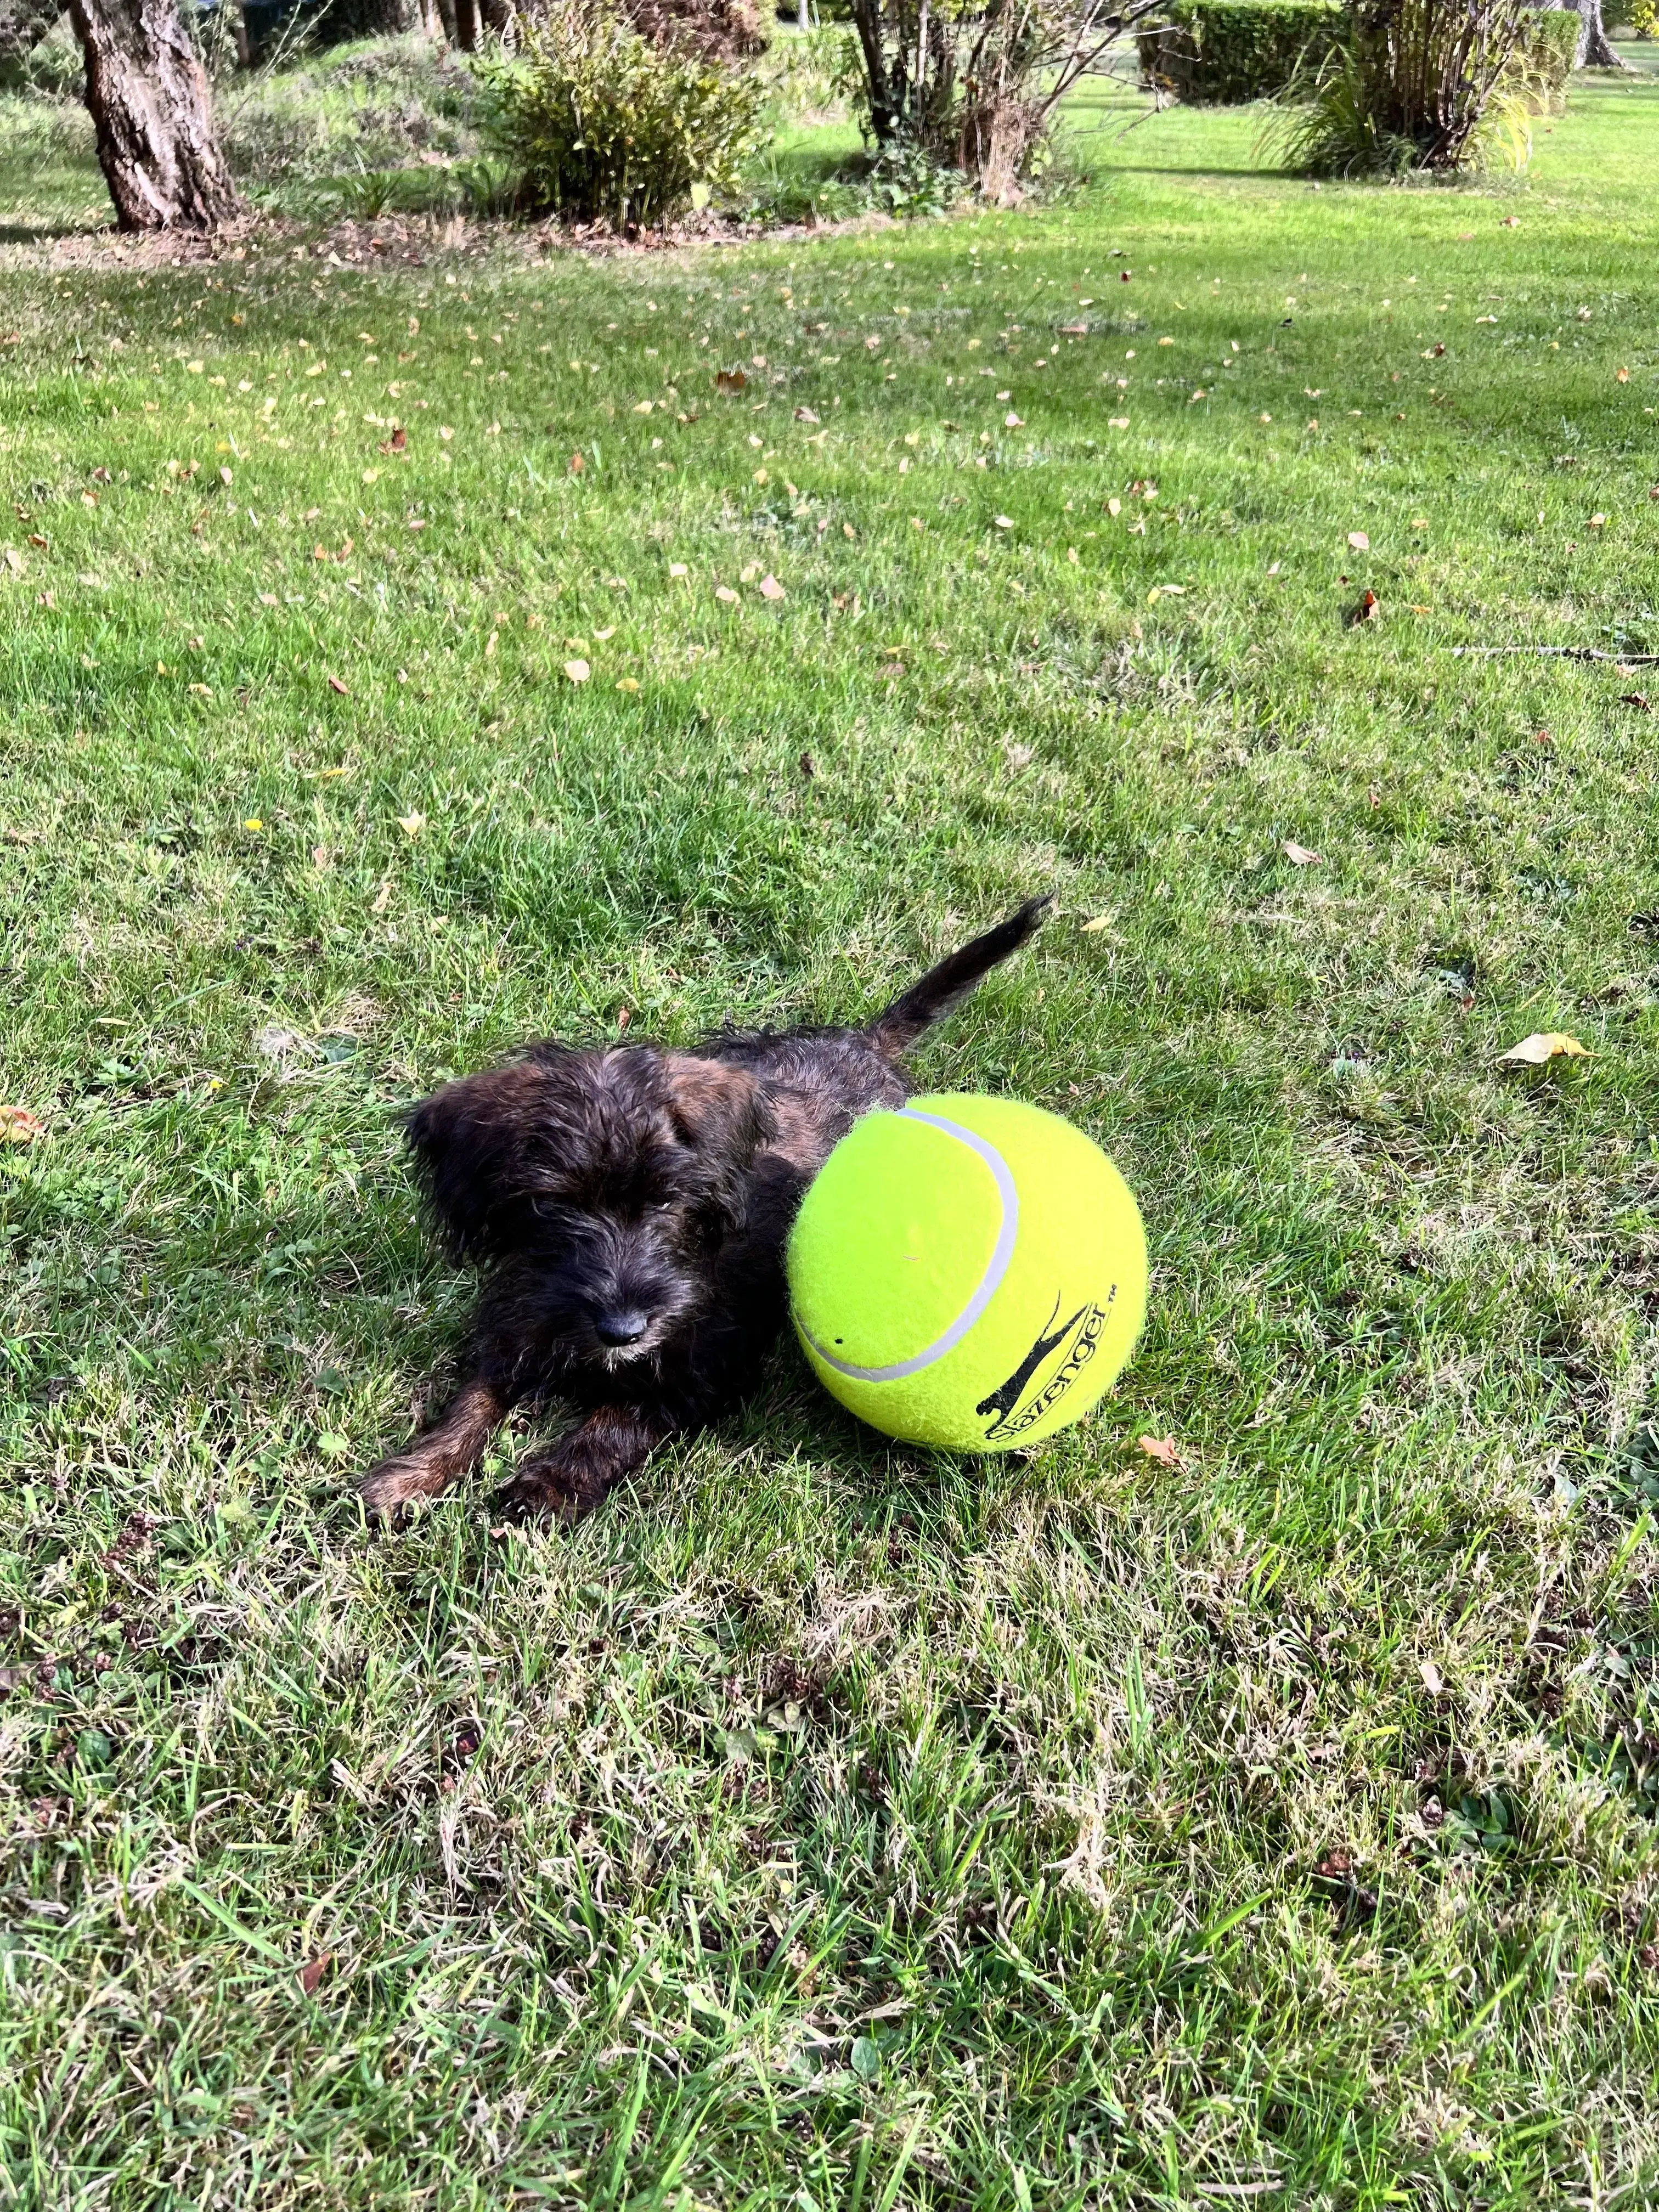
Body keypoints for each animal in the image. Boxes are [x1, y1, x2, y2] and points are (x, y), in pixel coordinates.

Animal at [360, 893, 1053, 1522]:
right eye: (554, 1205)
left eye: (668, 1199)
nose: (623, 1330)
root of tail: (866, 1045)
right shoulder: (523, 1314)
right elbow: (474, 1398)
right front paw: (414, 1472)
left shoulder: (701, 1367)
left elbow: (614, 1422)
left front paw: (549, 1485)